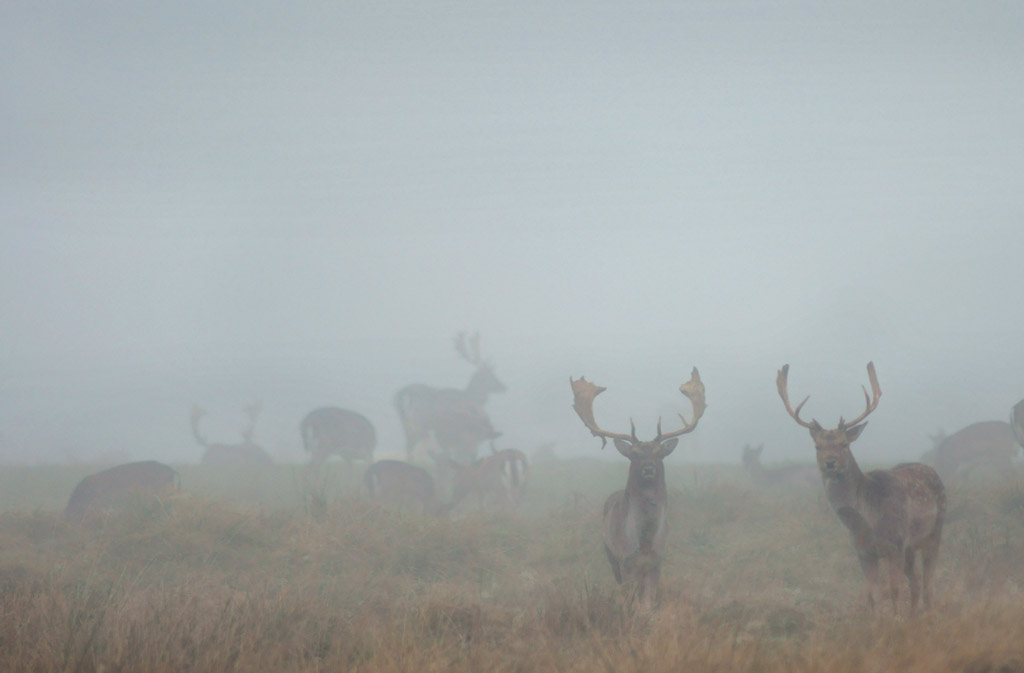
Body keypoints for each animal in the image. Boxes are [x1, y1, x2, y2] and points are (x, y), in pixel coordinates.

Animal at [393, 329, 505, 463]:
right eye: (490, 375)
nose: (504, 386)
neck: (471, 397)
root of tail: (402, 394)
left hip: (406, 425)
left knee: (409, 446)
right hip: (419, 423)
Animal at [569, 366, 704, 610]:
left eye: (659, 453)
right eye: (634, 454)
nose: (649, 468)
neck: (645, 543)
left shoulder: (657, 561)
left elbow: (648, 604)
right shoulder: (625, 560)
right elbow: (633, 601)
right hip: (609, 553)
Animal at [778, 362, 946, 614]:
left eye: (844, 444)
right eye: (817, 446)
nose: (830, 462)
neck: (866, 522)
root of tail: (931, 470)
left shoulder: (896, 543)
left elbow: (894, 590)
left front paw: (895, 620)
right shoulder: (863, 552)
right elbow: (873, 595)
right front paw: (879, 619)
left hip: (934, 533)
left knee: (929, 583)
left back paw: (928, 614)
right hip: (911, 548)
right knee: (916, 582)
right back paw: (913, 616)